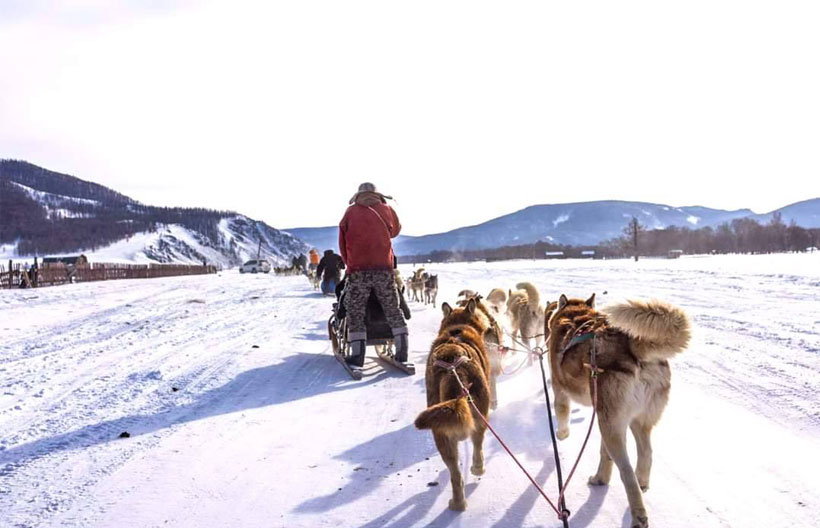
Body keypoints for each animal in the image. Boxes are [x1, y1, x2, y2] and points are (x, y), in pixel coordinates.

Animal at [416, 300, 494, 512]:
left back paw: (459, 499)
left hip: (442, 431)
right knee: (475, 447)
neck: (457, 329)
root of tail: (455, 370)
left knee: (457, 471)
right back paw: (474, 474)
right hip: (479, 416)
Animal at [544, 292, 692, 528]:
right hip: (628, 421)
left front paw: (561, 434)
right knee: (645, 453)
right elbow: (605, 454)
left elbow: (562, 414)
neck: (575, 315)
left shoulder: (560, 391)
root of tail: (633, 347)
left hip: (611, 424)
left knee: (627, 471)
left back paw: (638, 515)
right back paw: (613, 480)